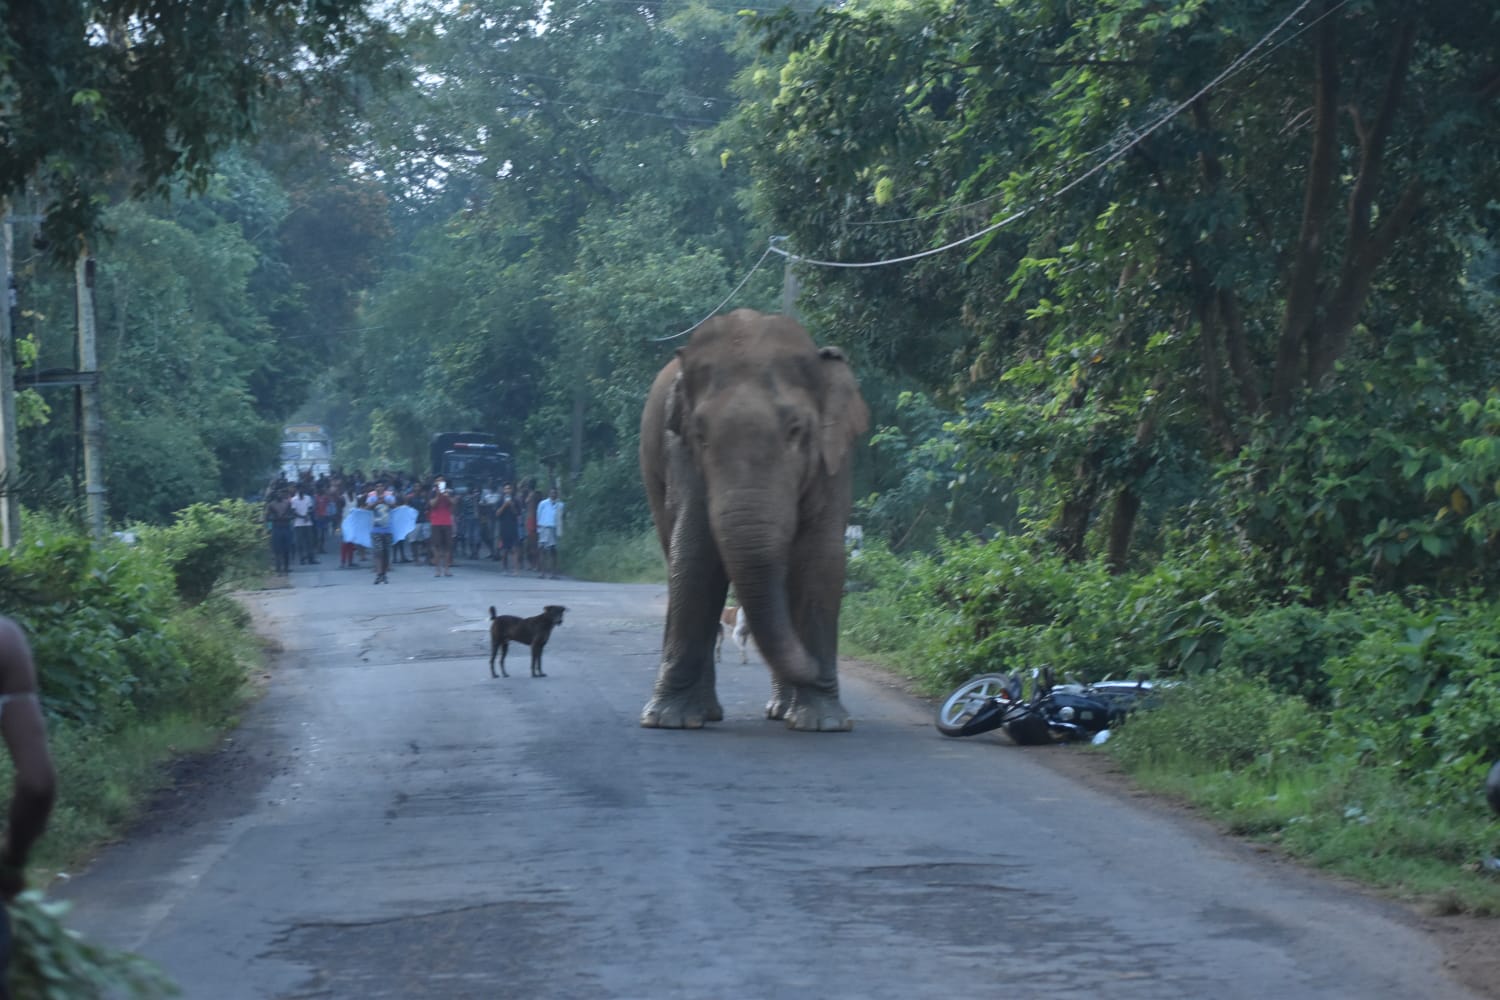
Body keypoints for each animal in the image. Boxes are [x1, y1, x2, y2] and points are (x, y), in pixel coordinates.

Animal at [636, 308, 870, 731]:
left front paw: (824, 723)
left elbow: (821, 559)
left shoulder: (836, 459)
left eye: (796, 430)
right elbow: (695, 553)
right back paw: (702, 712)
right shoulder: (680, 454)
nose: (816, 668)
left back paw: (781, 711)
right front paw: (668, 720)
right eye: (700, 434)